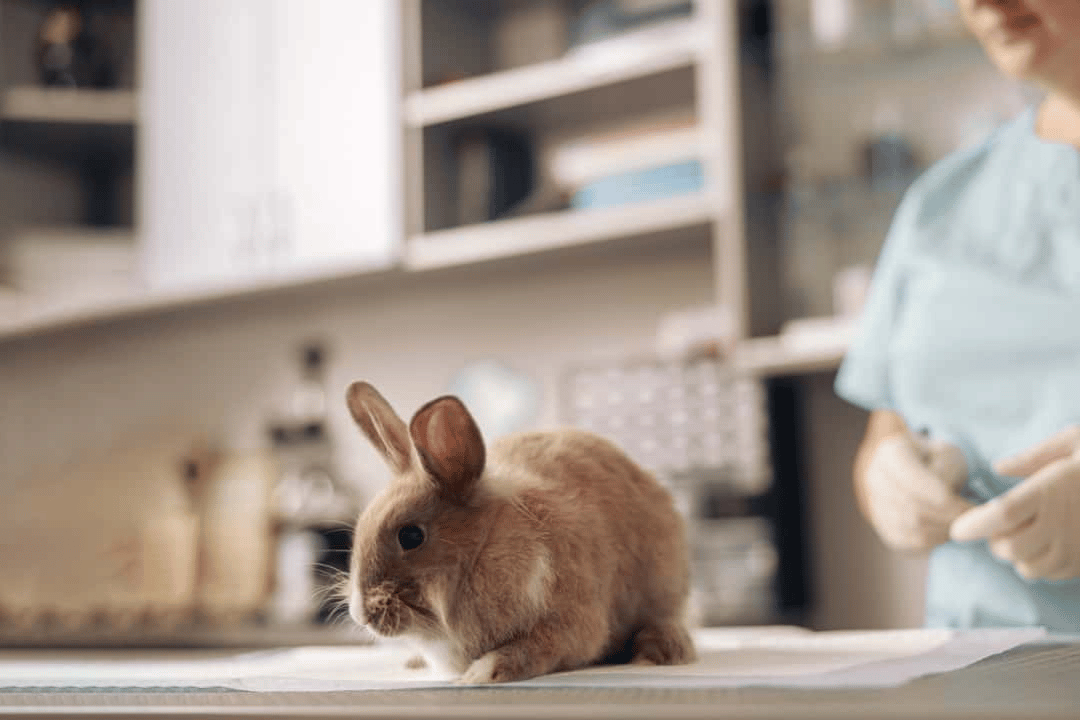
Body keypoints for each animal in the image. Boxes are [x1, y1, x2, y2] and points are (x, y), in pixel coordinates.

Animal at [344, 380, 696, 684]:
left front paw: (481, 673)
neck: (483, 548)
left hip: (663, 588)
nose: (359, 615)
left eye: (411, 536)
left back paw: (660, 651)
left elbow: (533, 649)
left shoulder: (572, 626)